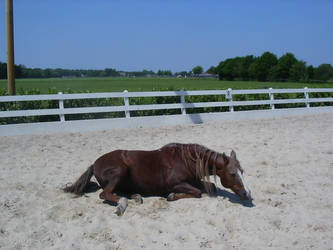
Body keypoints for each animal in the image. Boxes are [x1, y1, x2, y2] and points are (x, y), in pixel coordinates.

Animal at [62, 144, 250, 216]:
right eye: (233, 173)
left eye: (242, 171)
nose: (247, 194)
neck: (186, 160)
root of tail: (94, 164)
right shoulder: (176, 183)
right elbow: (196, 192)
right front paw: (172, 196)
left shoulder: (196, 181)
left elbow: (210, 187)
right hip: (119, 172)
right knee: (105, 194)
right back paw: (122, 204)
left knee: (118, 192)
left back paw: (136, 197)